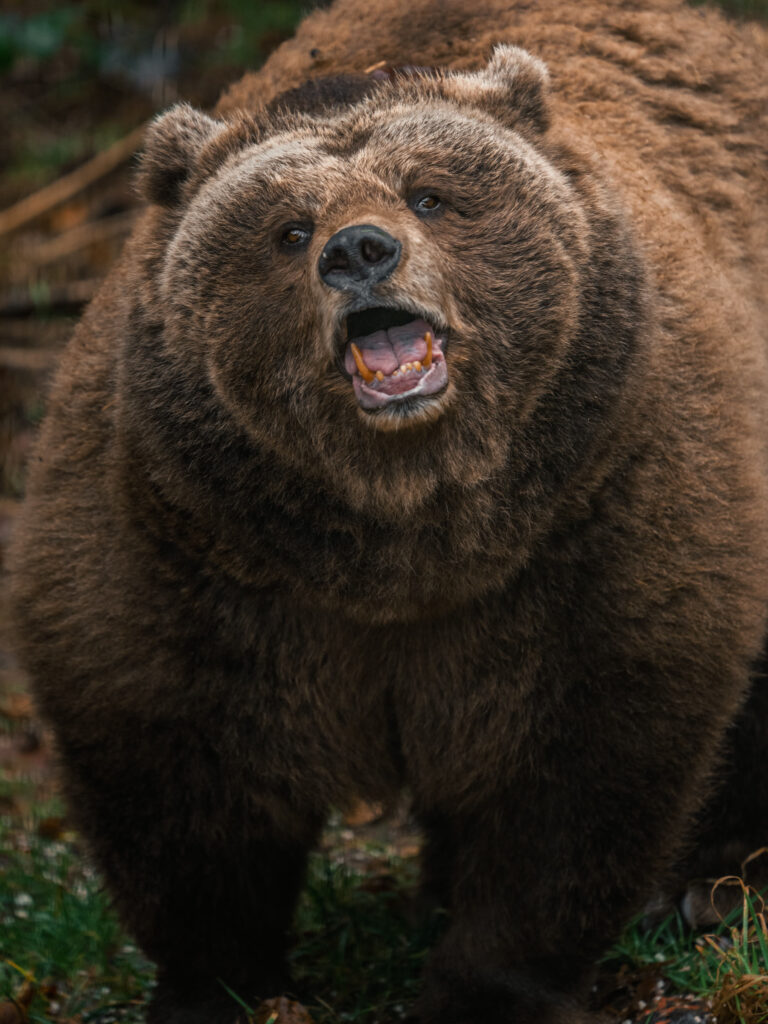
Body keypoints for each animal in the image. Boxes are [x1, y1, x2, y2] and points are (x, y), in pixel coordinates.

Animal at [9, 0, 768, 1022]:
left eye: (430, 195)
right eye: (290, 228)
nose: (360, 251)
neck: (401, 528)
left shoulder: (605, 505)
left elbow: (575, 770)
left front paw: (487, 982)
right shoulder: (189, 545)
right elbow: (176, 767)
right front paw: (218, 980)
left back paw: (709, 883)